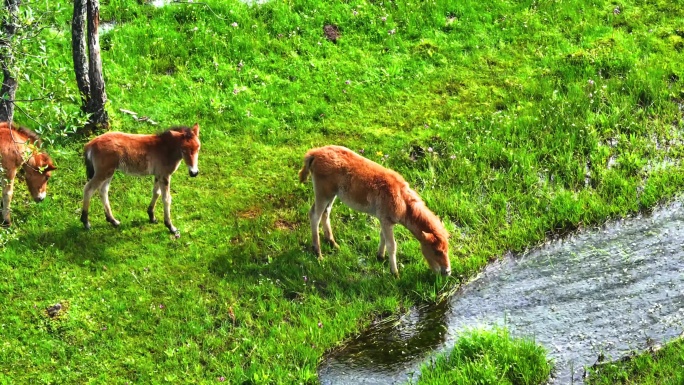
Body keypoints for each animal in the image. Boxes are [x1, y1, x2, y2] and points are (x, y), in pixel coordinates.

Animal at [298, 145, 448, 276]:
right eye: (437, 251)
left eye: (447, 249)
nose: (447, 271)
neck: (402, 199)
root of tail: (314, 153)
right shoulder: (386, 220)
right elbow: (392, 245)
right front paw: (395, 273)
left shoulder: (384, 220)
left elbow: (382, 237)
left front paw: (380, 256)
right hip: (323, 193)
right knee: (314, 215)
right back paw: (318, 253)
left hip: (332, 194)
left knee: (326, 212)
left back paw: (332, 243)